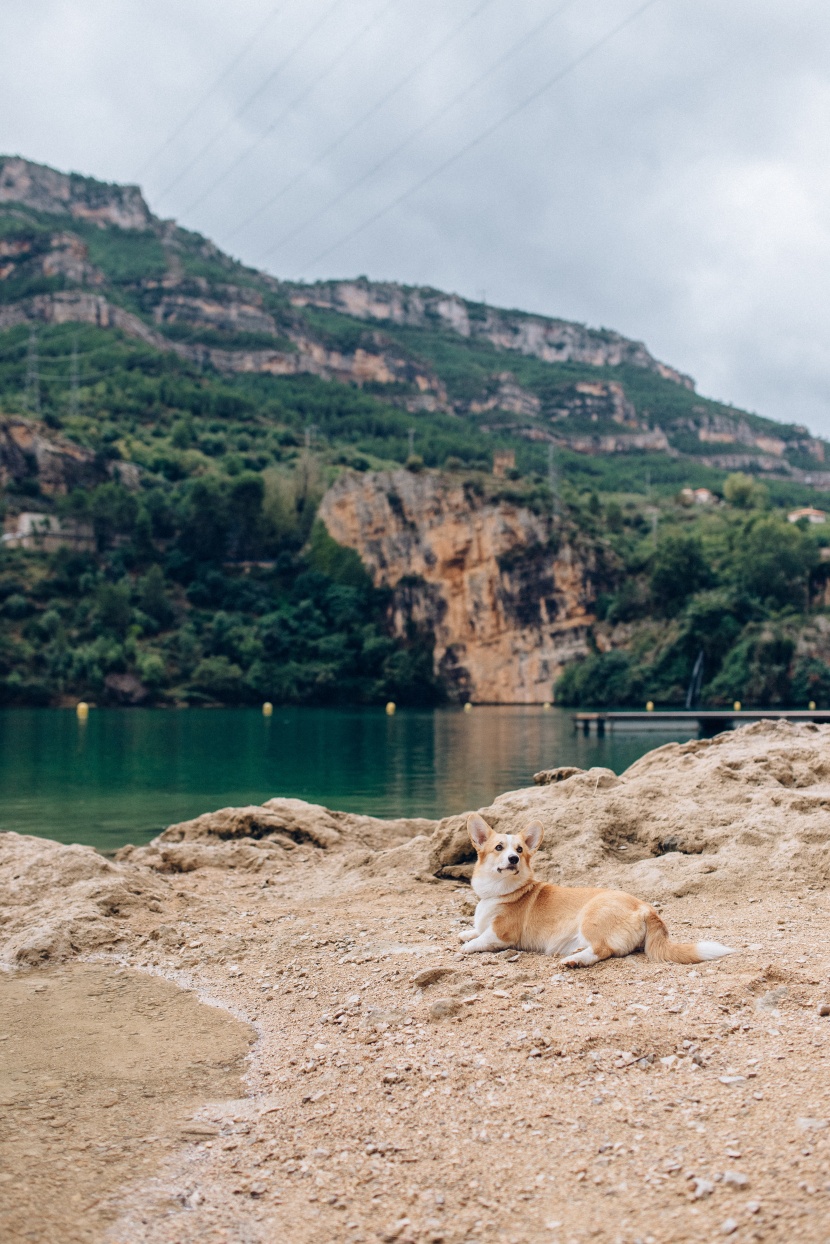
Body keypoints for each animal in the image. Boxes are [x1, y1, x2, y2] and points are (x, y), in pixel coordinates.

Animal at [460, 811, 731, 965]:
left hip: (590, 915)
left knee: (602, 950)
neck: (499, 892)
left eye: (519, 850)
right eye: (498, 848)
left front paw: (466, 946)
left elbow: (480, 940)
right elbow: (474, 931)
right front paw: (466, 933)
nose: (514, 859)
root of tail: (646, 909)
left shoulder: (501, 935)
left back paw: (574, 960)